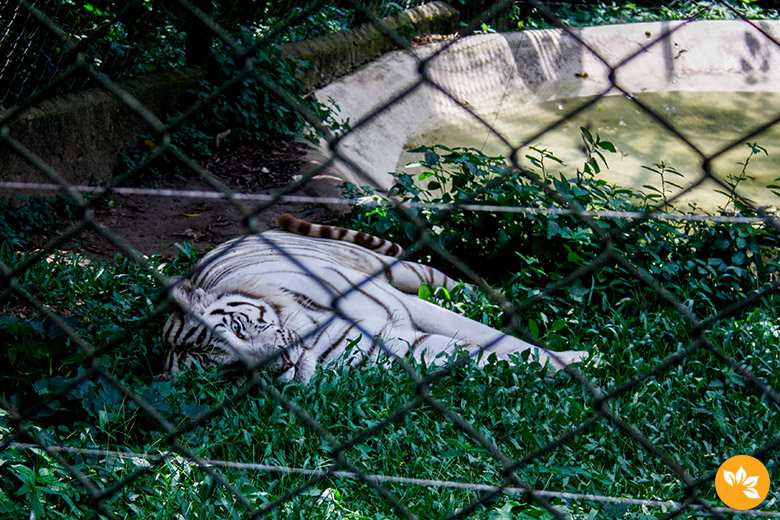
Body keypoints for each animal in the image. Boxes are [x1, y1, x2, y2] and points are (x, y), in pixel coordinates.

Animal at [165, 213, 592, 384]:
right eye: (231, 372)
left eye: (237, 327)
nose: (281, 363)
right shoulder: (394, 346)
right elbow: (481, 354)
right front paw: (575, 364)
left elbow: (492, 336)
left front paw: (579, 359)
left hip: (402, 270)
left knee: (455, 285)